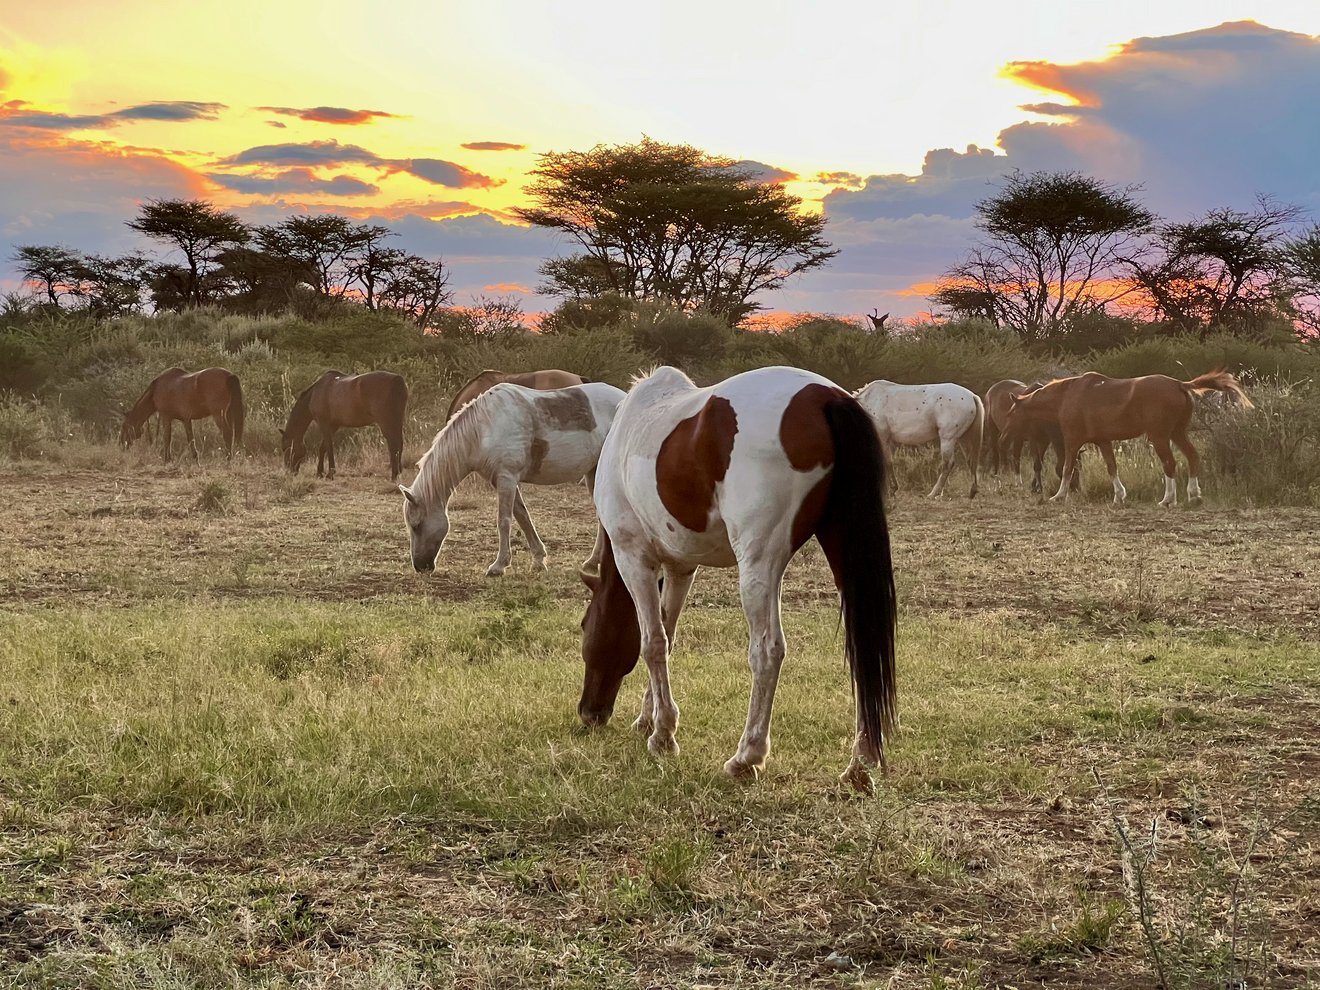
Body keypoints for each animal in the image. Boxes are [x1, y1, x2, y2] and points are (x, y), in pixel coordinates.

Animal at [398, 382, 625, 578]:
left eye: (416, 525)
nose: (420, 567)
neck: (485, 427)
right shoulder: (503, 480)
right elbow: (522, 517)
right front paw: (539, 560)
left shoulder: (506, 478)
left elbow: (504, 521)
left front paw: (498, 566)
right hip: (593, 474)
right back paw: (592, 563)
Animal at [578, 369, 897, 797]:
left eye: (584, 627)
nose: (589, 712)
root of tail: (826, 397)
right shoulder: (681, 568)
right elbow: (667, 637)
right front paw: (650, 719)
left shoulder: (634, 558)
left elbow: (652, 643)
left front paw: (662, 736)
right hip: (841, 549)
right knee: (861, 644)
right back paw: (859, 765)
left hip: (758, 565)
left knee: (768, 651)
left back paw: (747, 757)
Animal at [1003, 369, 1251, 506]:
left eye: (1012, 412)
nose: (1004, 436)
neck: (1068, 395)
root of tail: (1180, 385)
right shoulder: (1103, 442)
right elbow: (1112, 467)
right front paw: (1119, 496)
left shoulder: (1072, 441)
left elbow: (1066, 468)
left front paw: (1058, 496)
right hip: (1177, 433)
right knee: (1192, 457)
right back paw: (1193, 495)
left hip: (1160, 437)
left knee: (1170, 464)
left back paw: (1168, 500)